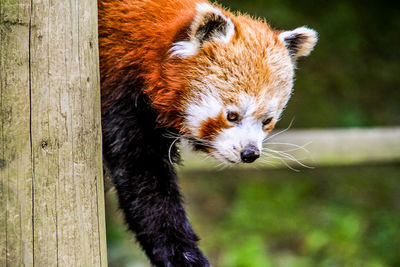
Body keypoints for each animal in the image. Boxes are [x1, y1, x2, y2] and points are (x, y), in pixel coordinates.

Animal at [98, 0, 318, 266]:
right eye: (232, 116)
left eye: (267, 121)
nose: (249, 153)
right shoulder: (121, 88)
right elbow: (143, 178)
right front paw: (183, 253)